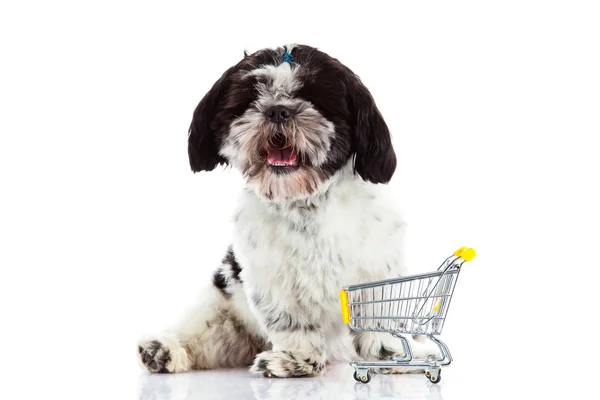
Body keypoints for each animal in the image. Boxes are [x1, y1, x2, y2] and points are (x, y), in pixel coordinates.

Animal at [138, 44, 434, 378]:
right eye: (252, 98)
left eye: (314, 99)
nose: (278, 109)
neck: (305, 201)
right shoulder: (272, 278)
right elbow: (292, 321)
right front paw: (296, 358)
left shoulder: (377, 268)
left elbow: (379, 317)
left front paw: (391, 355)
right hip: (222, 306)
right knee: (204, 331)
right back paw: (164, 350)